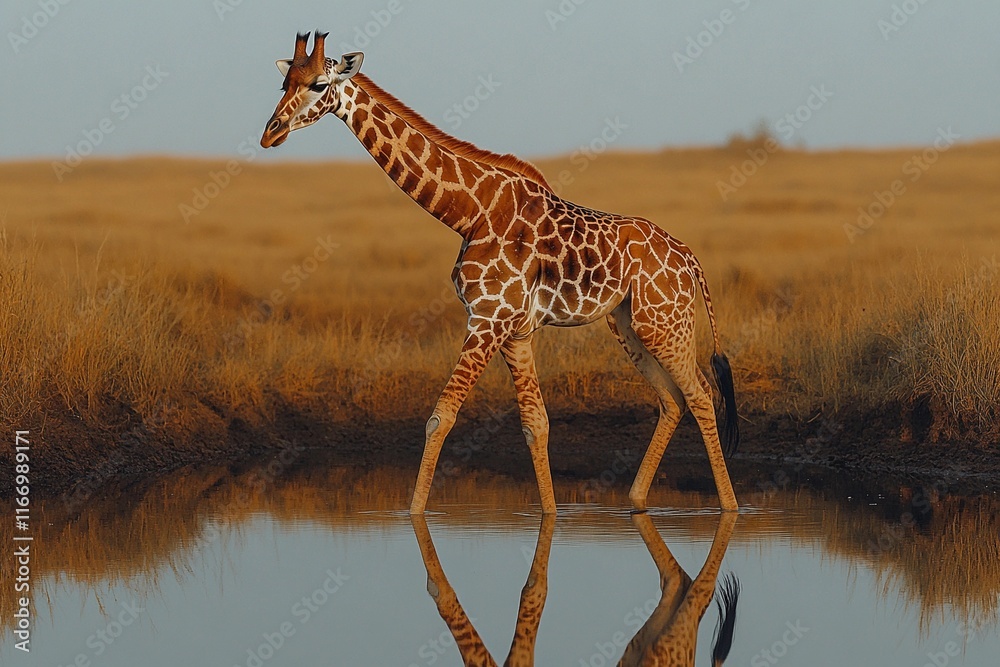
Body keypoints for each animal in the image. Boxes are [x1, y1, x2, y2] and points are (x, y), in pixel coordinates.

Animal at [260, 32, 741, 514]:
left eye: (320, 85)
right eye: (284, 82)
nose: (270, 133)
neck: (468, 213)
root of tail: (689, 258)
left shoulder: (487, 318)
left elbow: (440, 417)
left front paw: (413, 514)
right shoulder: (514, 330)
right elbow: (536, 424)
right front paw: (550, 513)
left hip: (664, 323)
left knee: (700, 395)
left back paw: (730, 507)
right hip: (628, 324)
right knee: (672, 399)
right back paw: (637, 500)